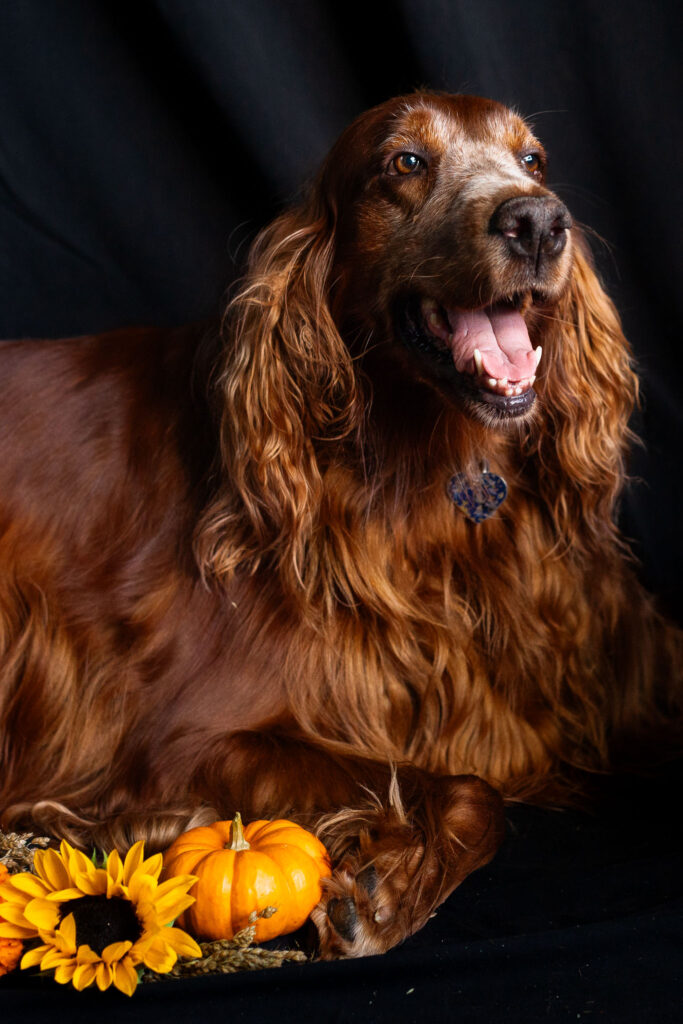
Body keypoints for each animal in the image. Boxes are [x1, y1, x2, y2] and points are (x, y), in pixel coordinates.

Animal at [0, 92, 679, 954]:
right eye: (405, 162)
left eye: (532, 160)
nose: (536, 221)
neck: (430, 476)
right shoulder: (186, 736)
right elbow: (468, 784)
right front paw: (387, 883)